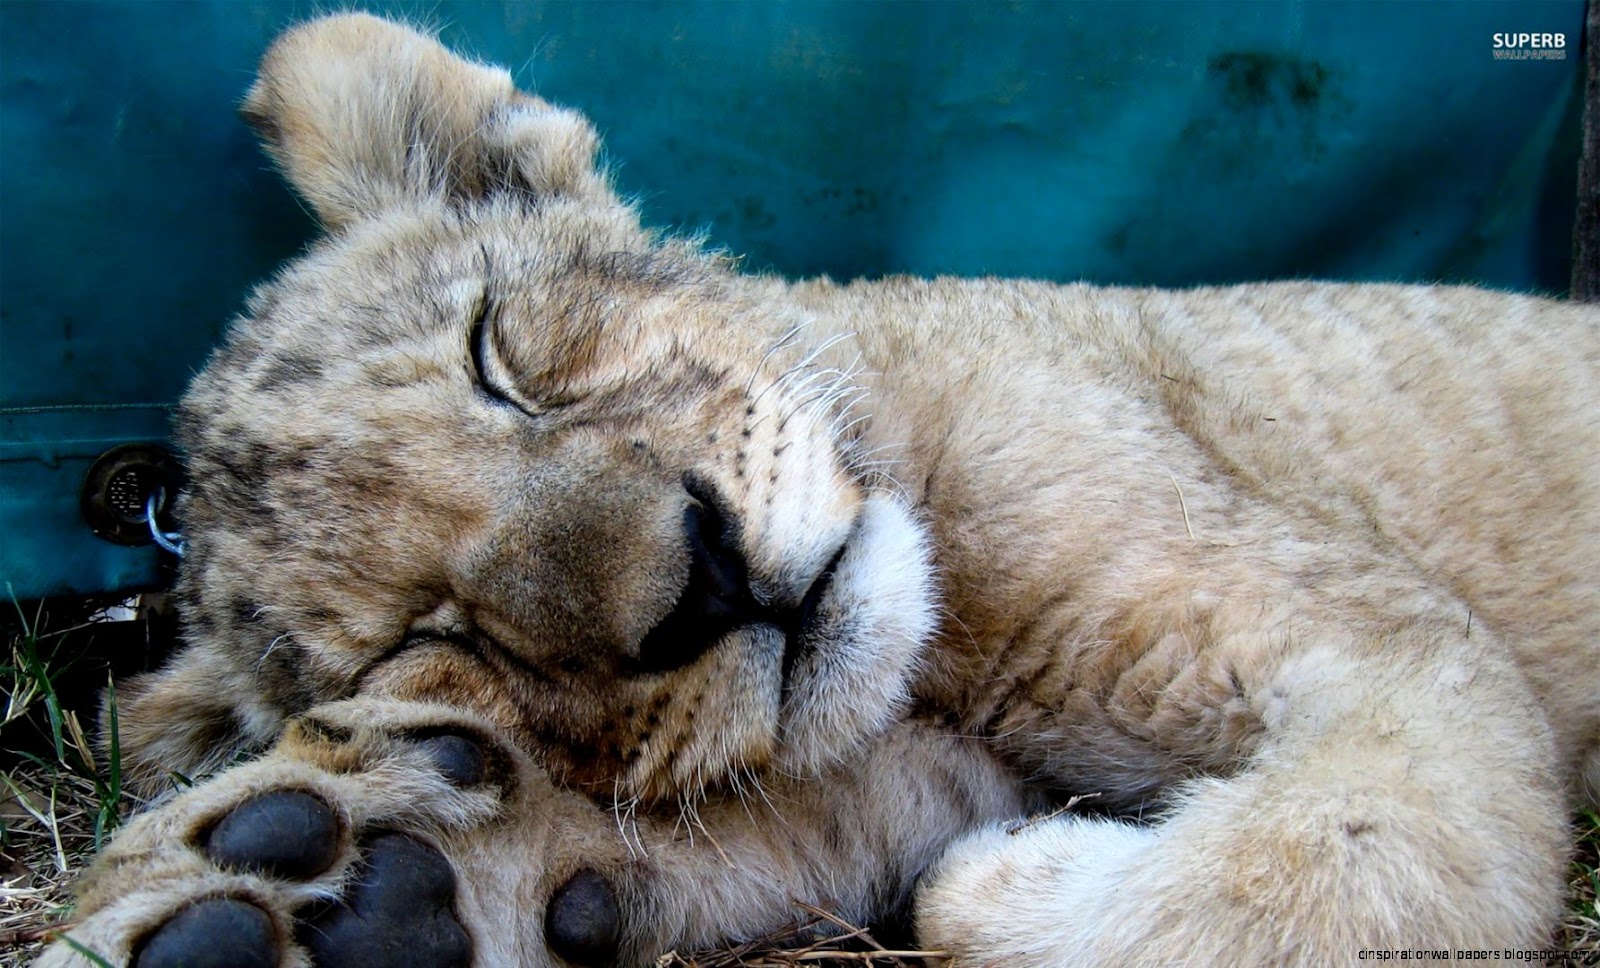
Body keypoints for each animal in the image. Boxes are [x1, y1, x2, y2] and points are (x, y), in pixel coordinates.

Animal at [42, 13, 1600, 968]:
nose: (704, 581)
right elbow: (741, 832)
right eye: (428, 639)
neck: (951, 648)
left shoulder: (1408, 655)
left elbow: (1342, 858)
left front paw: (1006, 879)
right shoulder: (917, 763)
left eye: (504, 357)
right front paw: (346, 876)